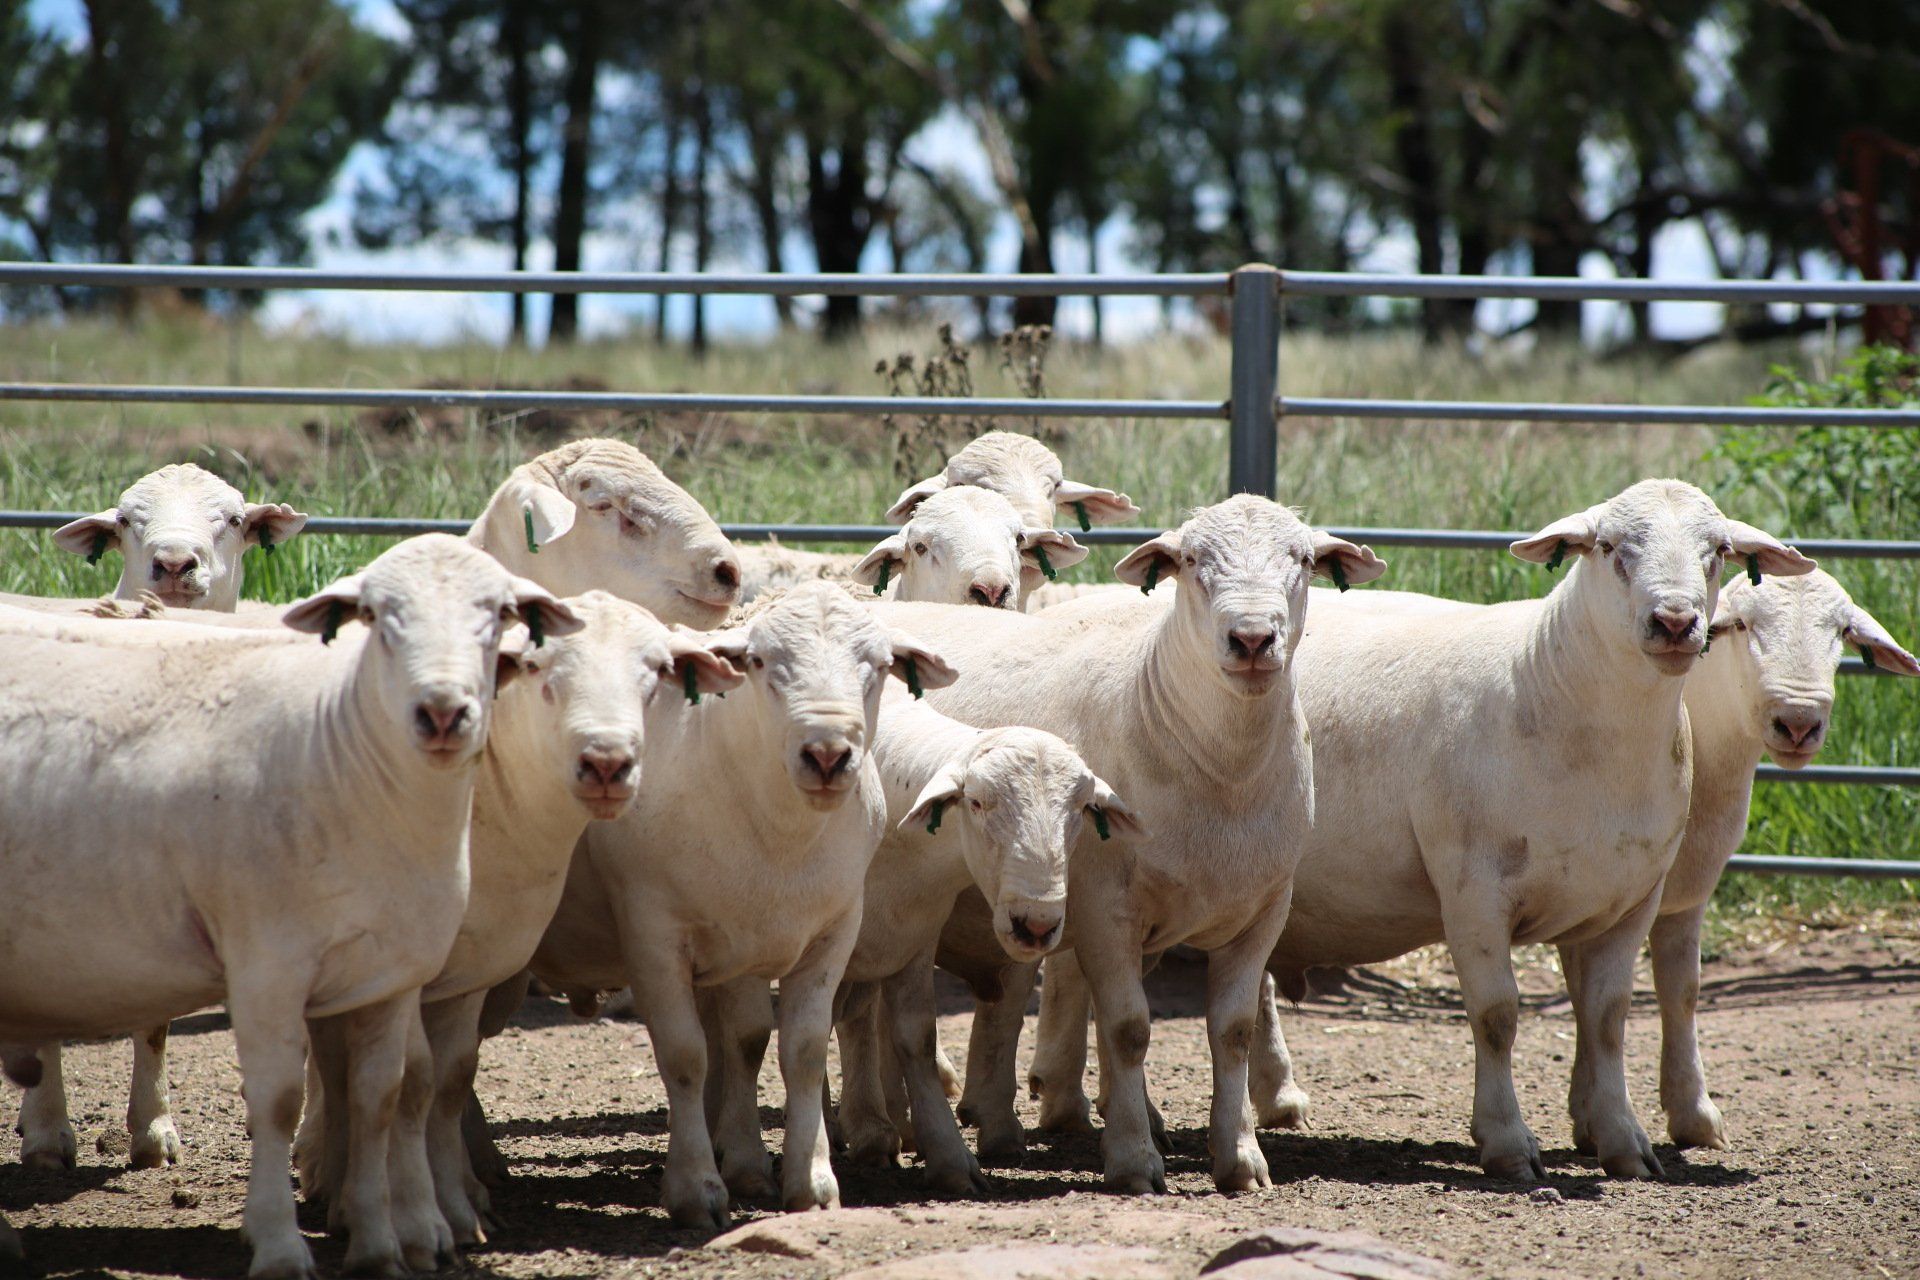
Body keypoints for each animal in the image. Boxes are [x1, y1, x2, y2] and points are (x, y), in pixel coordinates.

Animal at [0, 534, 578, 1279]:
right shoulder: (266, 964)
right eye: (377, 617)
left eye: (499, 613)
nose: (444, 713)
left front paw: (378, 1245)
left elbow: (380, 1095)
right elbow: (278, 1102)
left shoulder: (387, 973)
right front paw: (278, 1243)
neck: (344, 756)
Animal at [290, 592, 744, 1248]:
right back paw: (338, 1184)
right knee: (332, 1059)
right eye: (534, 667)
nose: (607, 763)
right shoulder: (407, 965)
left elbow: (449, 1077)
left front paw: (454, 1209)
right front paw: (415, 1215)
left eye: (658, 671)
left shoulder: (473, 962)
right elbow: (409, 1078)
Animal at [528, 582, 957, 1229]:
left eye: (880, 667)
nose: (828, 754)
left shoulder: (819, 930)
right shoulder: (654, 934)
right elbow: (687, 1054)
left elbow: (793, 1048)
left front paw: (808, 1181)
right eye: (758, 662)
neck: (780, 833)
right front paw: (699, 1186)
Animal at [871, 495, 1384, 1194]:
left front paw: (1240, 1158)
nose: (1253, 639)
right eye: (1191, 560)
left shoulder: (1262, 909)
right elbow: (1128, 1028)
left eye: (1303, 560)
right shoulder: (1103, 908)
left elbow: (1234, 1030)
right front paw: (1135, 1159)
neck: (1221, 774)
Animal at [1033, 480, 1815, 1183]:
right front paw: (1508, 1143)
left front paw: (1622, 1140)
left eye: (1716, 552)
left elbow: (1609, 1018)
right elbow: (1498, 1014)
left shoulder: (1630, 898)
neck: (1563, 699)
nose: (1676, 622)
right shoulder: (1472, 885)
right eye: (1609, 548)